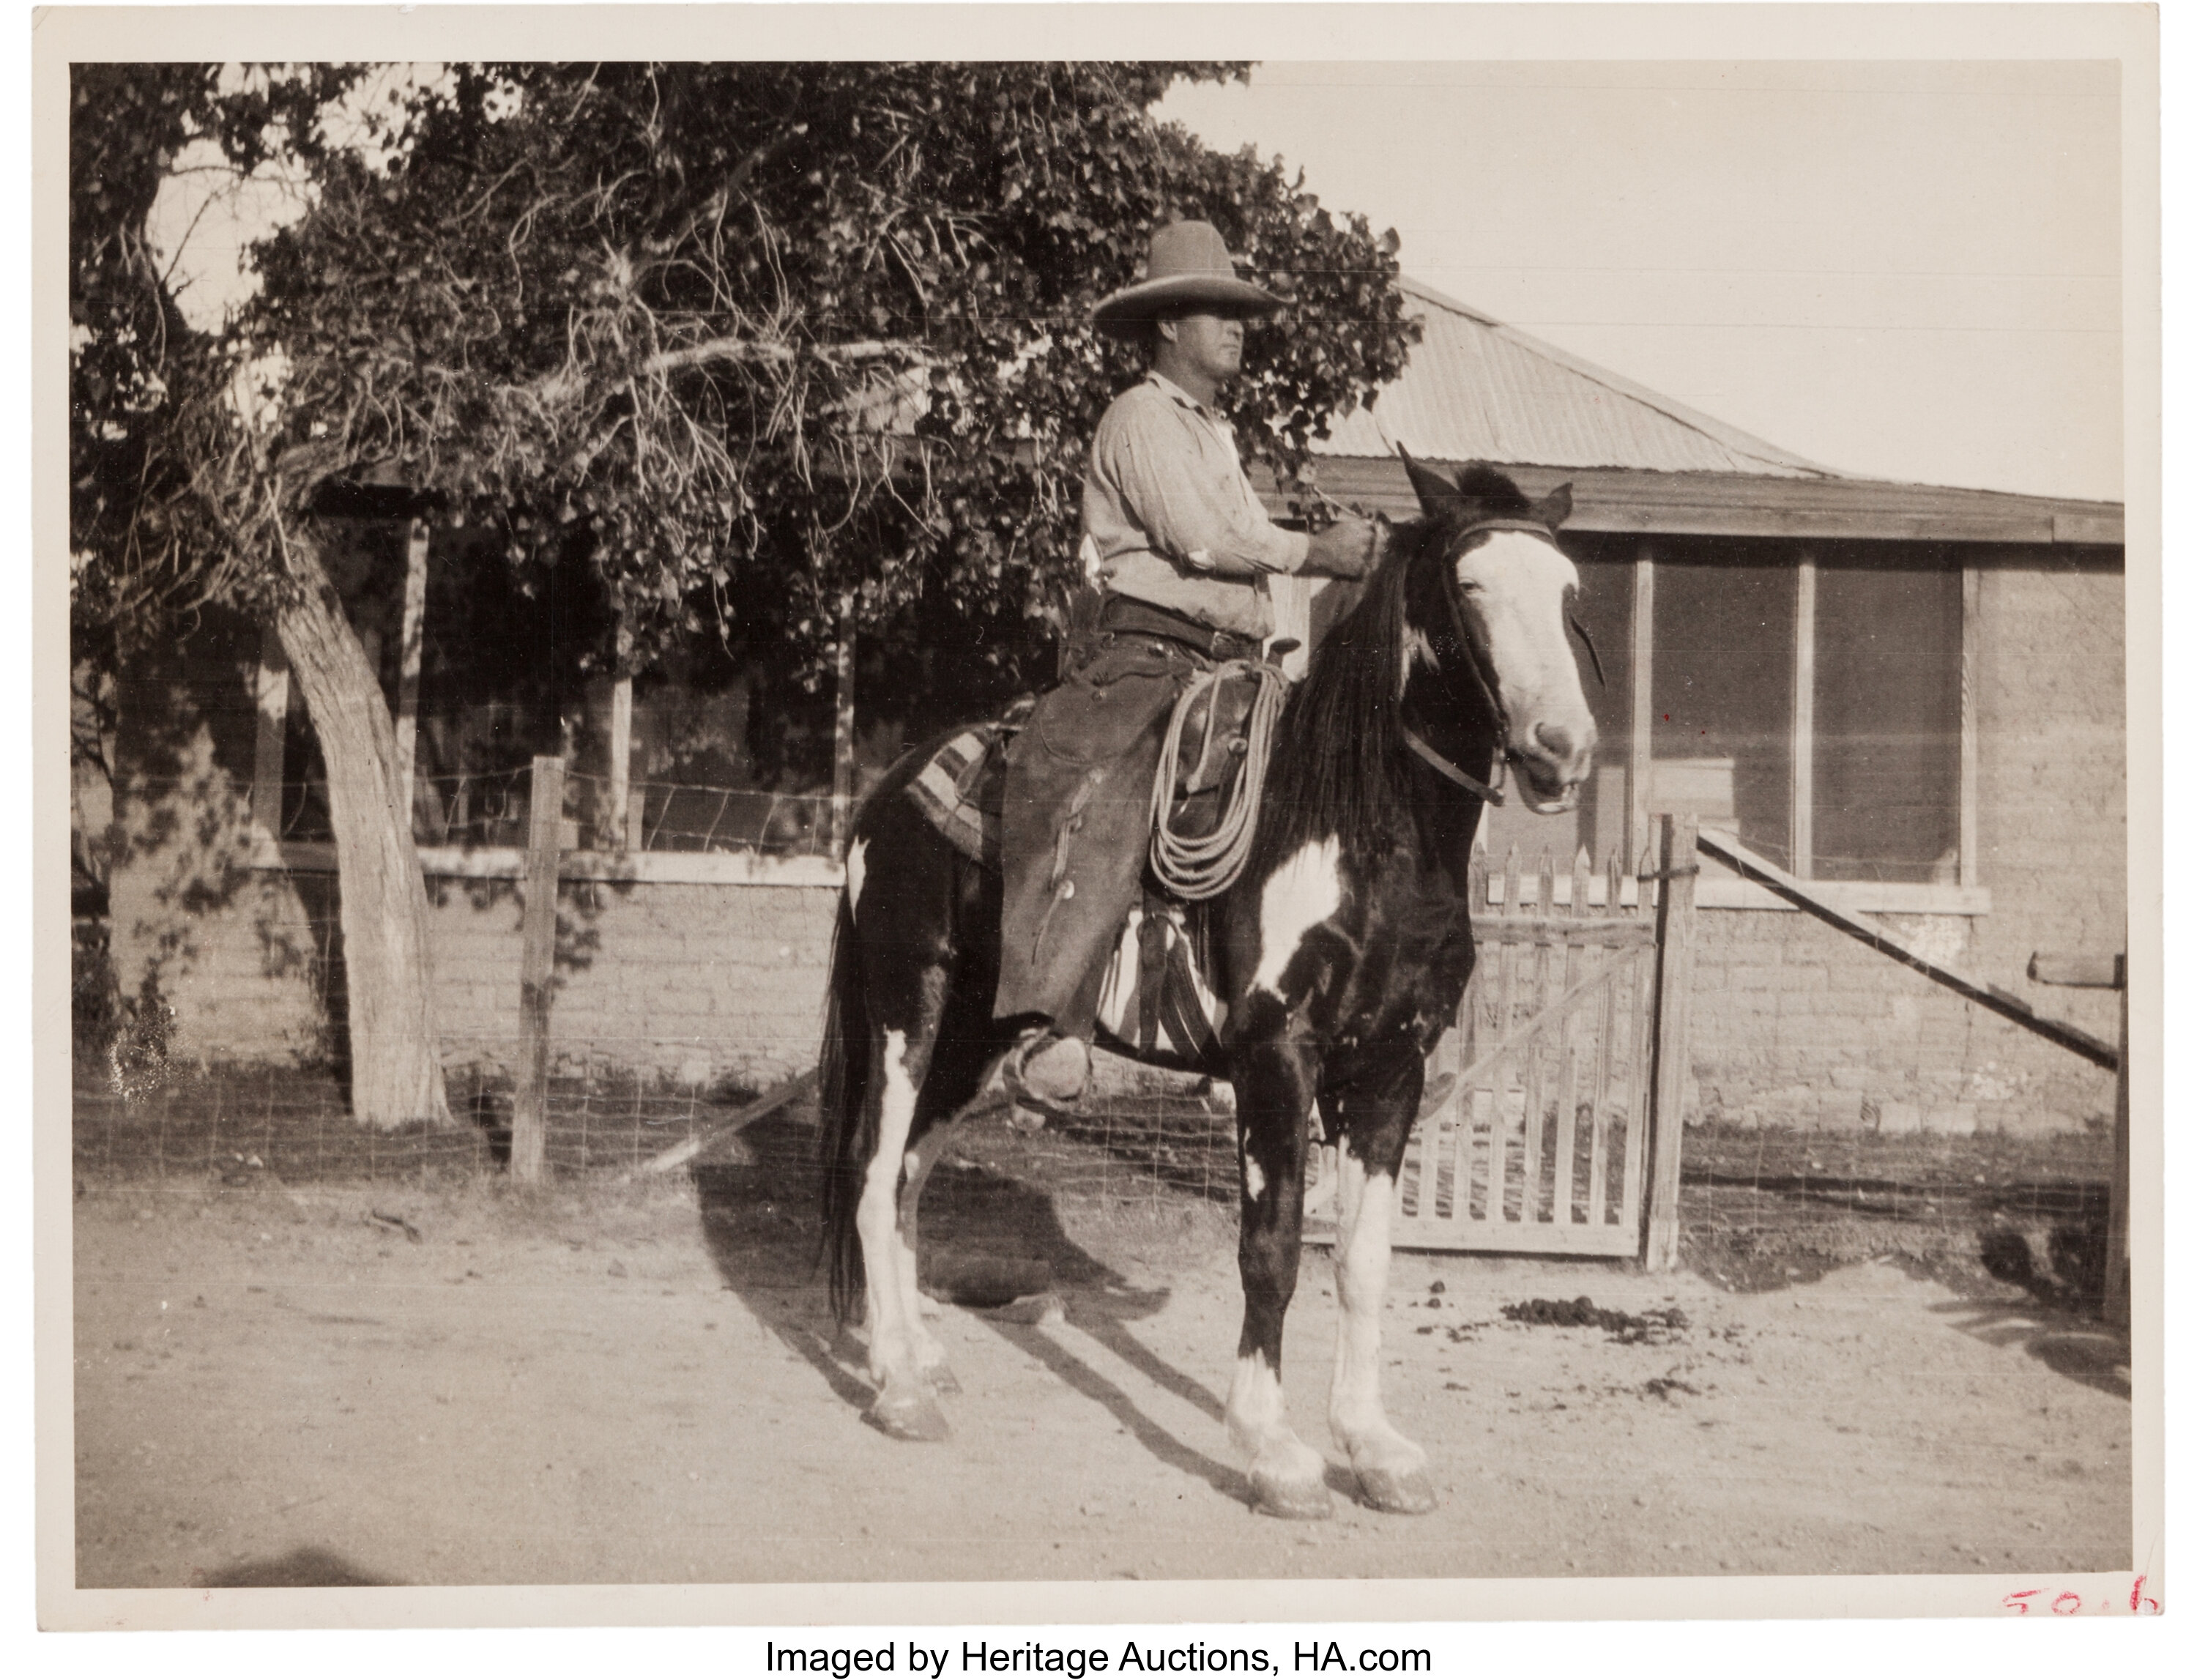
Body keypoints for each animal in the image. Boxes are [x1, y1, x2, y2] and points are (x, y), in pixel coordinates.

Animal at [808, 458, 1599, 1520]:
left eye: (1568, 592)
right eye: (1470, 585)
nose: (1563, 746)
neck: (1355, 830)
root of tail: (886, 792)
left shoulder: (1392, 1069)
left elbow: (1364, 1261)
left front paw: (1375, 1449)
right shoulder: (1276, 1057)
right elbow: (1271, 1250)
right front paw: (1274, 1450)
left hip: (974, 1035)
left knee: (905, 1175)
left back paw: (924, 1354)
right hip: (907, 1005)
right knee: (868, 1166)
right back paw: (897, 1387)